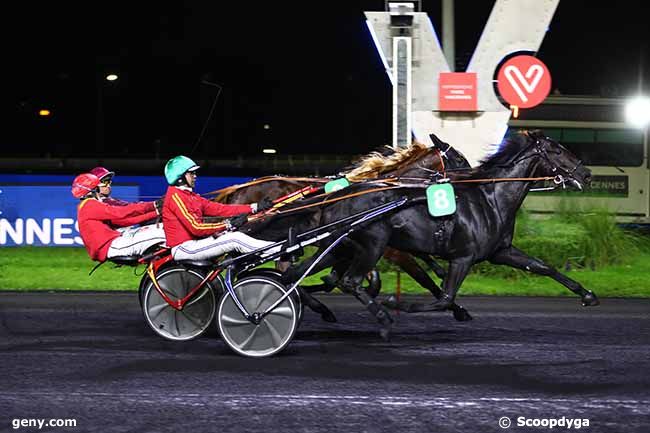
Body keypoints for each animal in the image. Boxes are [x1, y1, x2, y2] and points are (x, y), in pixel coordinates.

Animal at [210, 137, 474, 322]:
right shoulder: (392, 250)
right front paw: (458, 309)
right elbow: (423, 278)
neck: (386, 189)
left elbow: (348, 279)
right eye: (460, 159)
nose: (475, 177)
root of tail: (237, 190)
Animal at [251, 130, 596, 336]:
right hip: (372, 244)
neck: (489, 198)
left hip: (342, 246)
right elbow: (442, 296)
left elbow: (543, 267)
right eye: (558, 151)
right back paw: (382, 318)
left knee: (296, 275)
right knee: (347, 281)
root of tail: (338, 198)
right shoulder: (461, 257)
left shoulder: (500, 252)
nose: (587, 173)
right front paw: (397, 303)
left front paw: (587, 294)